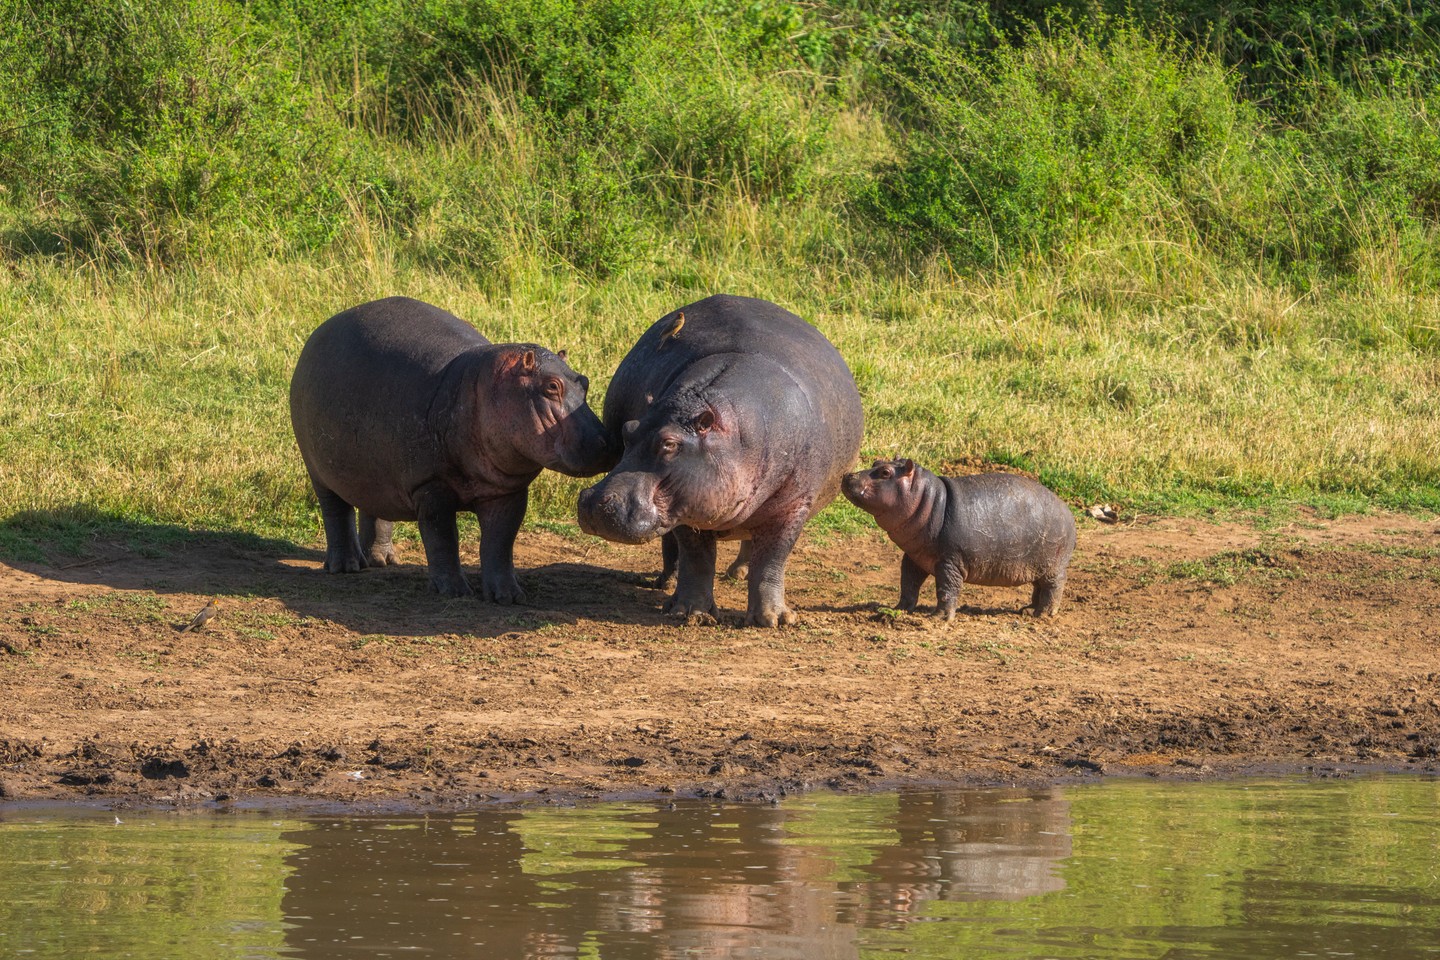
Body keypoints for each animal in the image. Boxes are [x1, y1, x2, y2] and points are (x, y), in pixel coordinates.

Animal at [289, 296, 614, 601]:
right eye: (551, 387)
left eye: (584, 382)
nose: (606, 443)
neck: (486, 386)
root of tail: (322, 329)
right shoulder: (431, 487)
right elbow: (442, 538)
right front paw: (454, 591)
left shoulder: (508, 492)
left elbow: (500, 543)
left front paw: (508, 596)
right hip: (318, 468)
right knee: (335, 511)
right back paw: (346, 566)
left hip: (376, 468)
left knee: (374, 506)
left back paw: (383, 561)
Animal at [578, 294, 864, 627]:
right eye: (628, 430)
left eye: (669, 443)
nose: (594, 502)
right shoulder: (686, 502)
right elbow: (697, 556)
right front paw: (690, 613)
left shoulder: (793, 505)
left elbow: (772, 559)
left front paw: (774, 619)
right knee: (676, 549)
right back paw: (669, 584)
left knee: (753, 540)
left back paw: (739, 574)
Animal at [842, 460, 1076, 620]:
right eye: (876, 462)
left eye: (885, 472)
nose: (848, 475)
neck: (928, 500)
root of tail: (1068, 512)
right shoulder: (914, 556)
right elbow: (908, 583)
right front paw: (897, 609)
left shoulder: (950, 561)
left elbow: (947, 588)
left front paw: (939, 618)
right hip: (1037, 565)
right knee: (1039, 587)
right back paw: (1028, 610)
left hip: (1054, 566)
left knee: (1055, 586)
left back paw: (1043, 614)